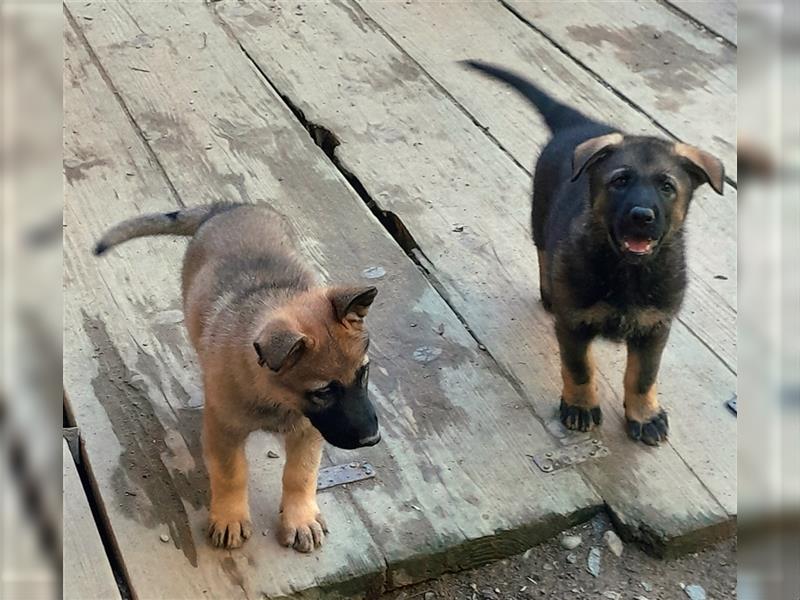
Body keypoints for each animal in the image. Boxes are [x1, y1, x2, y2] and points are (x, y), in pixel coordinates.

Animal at [94, 204, 382, 552]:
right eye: (324, 391)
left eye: (363, 372)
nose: (372, 440)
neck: (276, 397)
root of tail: (227, 206)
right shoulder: (224, 429)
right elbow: (231, 474)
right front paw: (230, 517)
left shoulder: (308, 429)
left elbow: (300, 473)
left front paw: (299, 518)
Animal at [462, 62, 724, 446]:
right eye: (620, 181)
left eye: (667, 187)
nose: (641, 216)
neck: (626, 271)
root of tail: (579, 125)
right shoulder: (573, 323)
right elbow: (580, 369)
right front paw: (581, 406)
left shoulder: (654, 327)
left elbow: (643, 376)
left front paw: (645, 415)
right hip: (540, 213)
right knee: (543, 251)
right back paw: (548, 290)